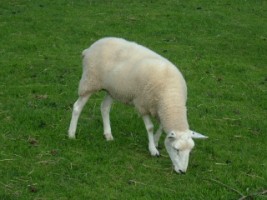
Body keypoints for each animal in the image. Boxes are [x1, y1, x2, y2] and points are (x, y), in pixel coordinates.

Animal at [68, 37, 208, 173]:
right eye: (176, 149)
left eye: (190, 150)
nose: (182, 171)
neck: (171, 98)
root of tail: (90, 47)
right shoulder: (142, 105)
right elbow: (150, 127)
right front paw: (152, 149)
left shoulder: (160, 110)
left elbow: (161, 128)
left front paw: (156, 142)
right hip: (89, 81)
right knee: (77, 107)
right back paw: (71, 134)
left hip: (112, 89)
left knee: (104, 107)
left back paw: (108, 134)